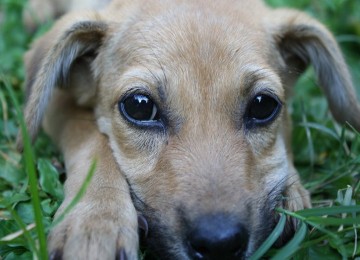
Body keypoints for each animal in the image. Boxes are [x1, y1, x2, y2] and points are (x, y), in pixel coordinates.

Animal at [21, 1, 360, 258]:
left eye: (264, 105)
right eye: (139, 106)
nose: (219, 244)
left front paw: (290, 191)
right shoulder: (59, 103)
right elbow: (92, 140)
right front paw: (96, 221)